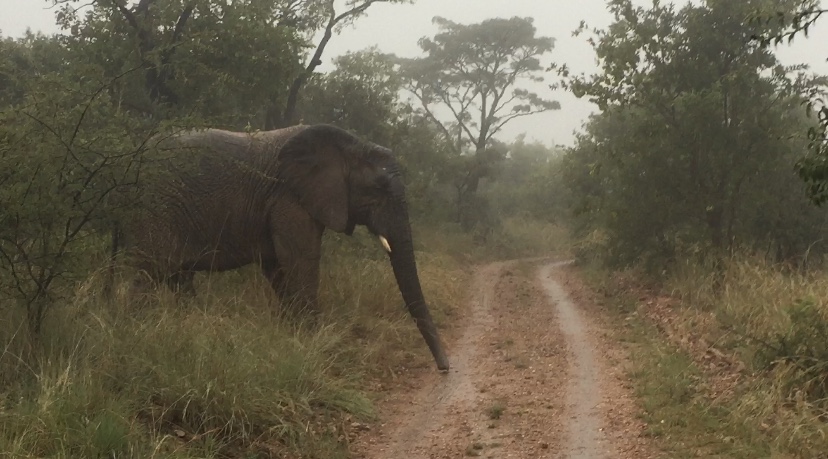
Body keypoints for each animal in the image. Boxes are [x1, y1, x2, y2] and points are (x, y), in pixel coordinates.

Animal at [121, 123, 449, 371]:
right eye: (379, 187)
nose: (445, 368)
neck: (350, 143)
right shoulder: (289, 198)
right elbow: (301, 259)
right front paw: (316, 344)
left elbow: (279, 267)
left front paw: (295, 335)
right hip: (158, 204)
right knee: (149, 273)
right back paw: (138, 331)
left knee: (179, 278)